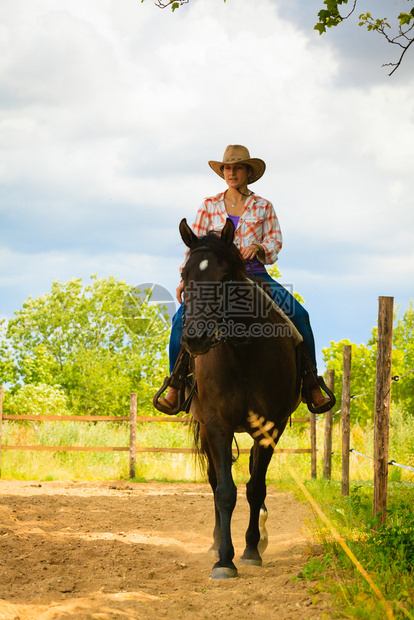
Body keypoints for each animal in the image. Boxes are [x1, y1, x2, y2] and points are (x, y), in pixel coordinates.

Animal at [180, 216, 302, 580]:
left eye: (224, 278)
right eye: (185, 275)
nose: (195, 338)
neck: (242, 354)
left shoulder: (271, 426)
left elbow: (255, 488)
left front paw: (250, 550)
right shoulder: (215, 424)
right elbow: (224, 491)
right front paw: (224, 559)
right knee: (213, 480)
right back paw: (215, 541)